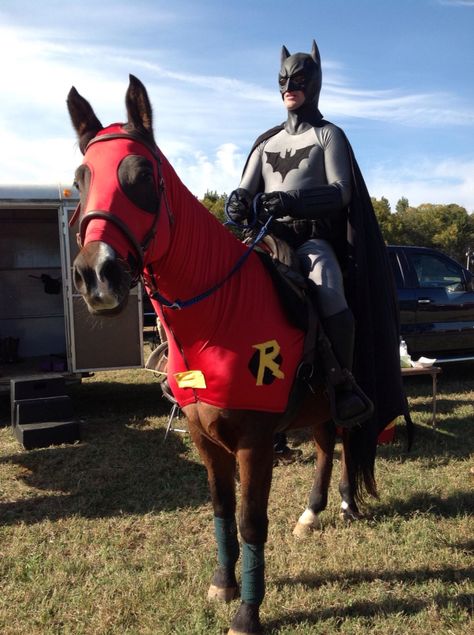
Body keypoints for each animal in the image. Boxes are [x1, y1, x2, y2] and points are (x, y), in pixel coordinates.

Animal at [66, 76, 388, 635]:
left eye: (141, 175)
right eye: (81, 178)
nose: (96, 275)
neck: (216, 319)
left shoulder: (255, 443)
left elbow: (250, 521)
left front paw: (248, 612)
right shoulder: (204, 438)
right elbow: (220, 510)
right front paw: (223, 583)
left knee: (349, 438)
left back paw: (347, 503)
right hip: (315, 406)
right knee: (326, 445)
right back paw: (313, 511)